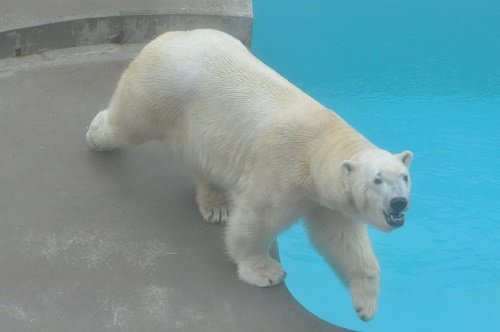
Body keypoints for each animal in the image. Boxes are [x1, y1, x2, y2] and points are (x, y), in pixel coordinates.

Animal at [87, 29, 414, 322]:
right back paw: (96, 134)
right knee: (128, 122)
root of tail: (172, 35)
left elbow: (341, 241)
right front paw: (265, 272)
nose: (399, 203)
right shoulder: (282, 172)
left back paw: (216, 204)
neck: (318, 146)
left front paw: (366, 305)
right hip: (161, 88)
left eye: (405, 177)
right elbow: (258, 219)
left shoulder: (326, 200)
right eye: (377, 179)